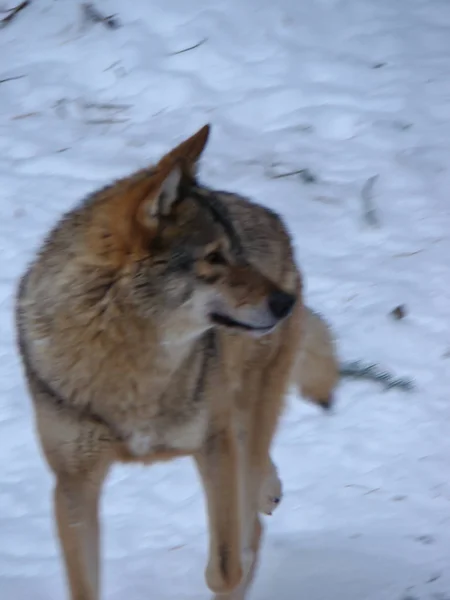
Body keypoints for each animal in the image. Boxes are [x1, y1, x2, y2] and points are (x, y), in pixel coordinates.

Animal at [14, 124, 338, 596]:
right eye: (214, 257)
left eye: (237, 251)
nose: (285, 302)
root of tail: (276, 222)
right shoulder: (73, 485)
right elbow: (84, 587)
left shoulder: (215, 445)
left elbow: (227, 567)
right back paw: (270, 490)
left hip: (244, 416)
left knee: (254, 500)